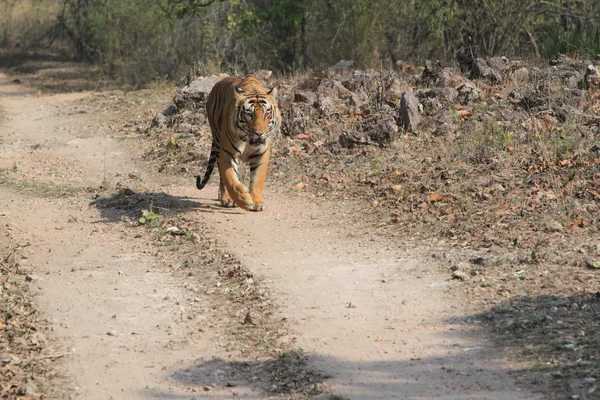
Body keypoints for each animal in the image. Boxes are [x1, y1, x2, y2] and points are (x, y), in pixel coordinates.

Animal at [197, 76, 282, 212]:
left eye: (267, 114)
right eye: (249, 114)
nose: (259, 133)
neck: (248, 141)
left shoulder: (262, 153)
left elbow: (257, 179)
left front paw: (257, 202)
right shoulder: (227, 153)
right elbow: (230, 179)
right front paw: (244, 200)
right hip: (218, 143)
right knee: (222, 177)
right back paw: (227, 198)